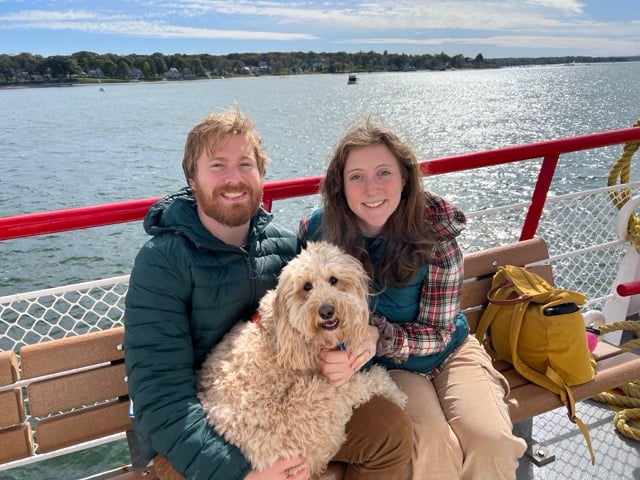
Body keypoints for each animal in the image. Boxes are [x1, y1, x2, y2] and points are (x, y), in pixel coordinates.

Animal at [196, 242, 404, 478]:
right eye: (307, 287)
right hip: (315, 403)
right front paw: (396, 393)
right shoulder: (331, 388)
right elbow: (368, 382)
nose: (326, 311)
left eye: (334, 280)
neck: (282, 333)